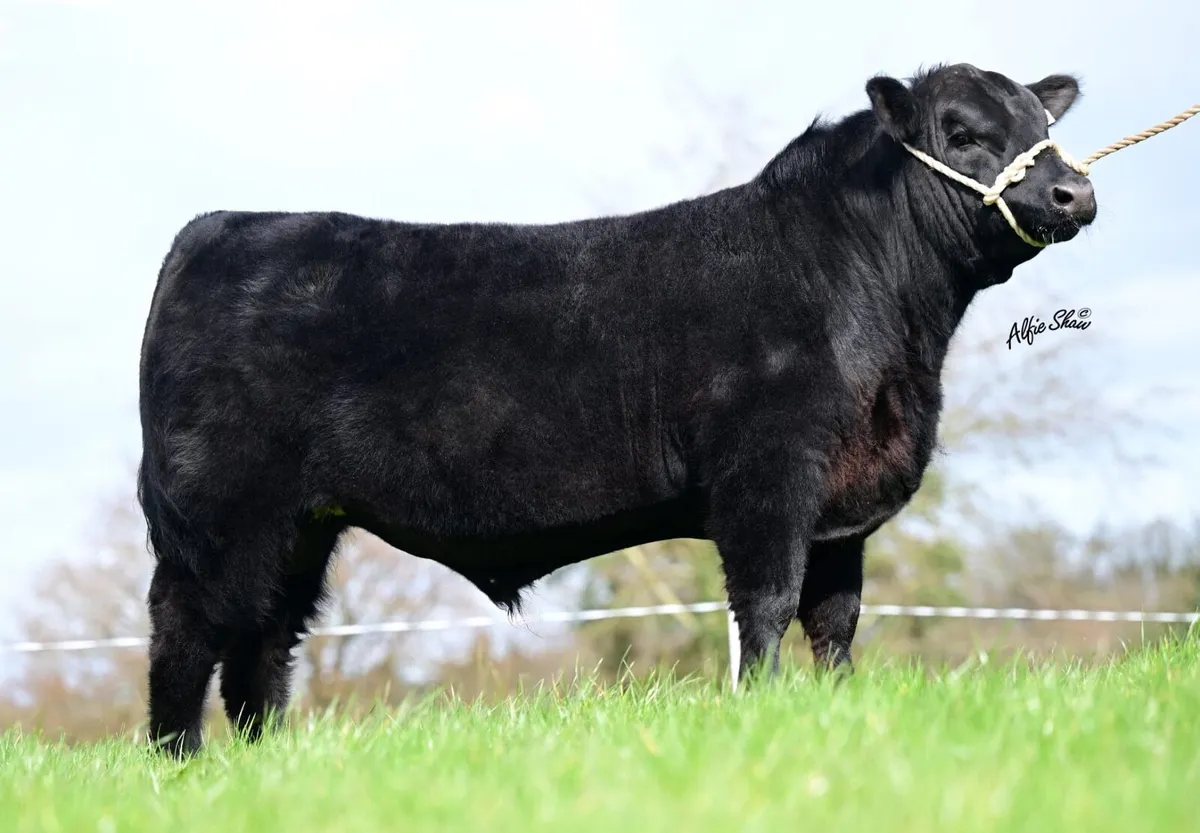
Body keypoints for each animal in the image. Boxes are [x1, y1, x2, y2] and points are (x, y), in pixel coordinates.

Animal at [137, 62, 1096, 755]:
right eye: (962, 134)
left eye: (1047, 131)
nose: (1073, 193)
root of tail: (214, 228)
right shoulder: (769, 477)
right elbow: (766, 604)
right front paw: (764, 709)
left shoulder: (843, 505)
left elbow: (835, 620)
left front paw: (837, 708)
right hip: (222, 512)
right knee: (187, 630)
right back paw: (178, 761)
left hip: (301, 524)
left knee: (263, 643)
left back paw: (264, 759)